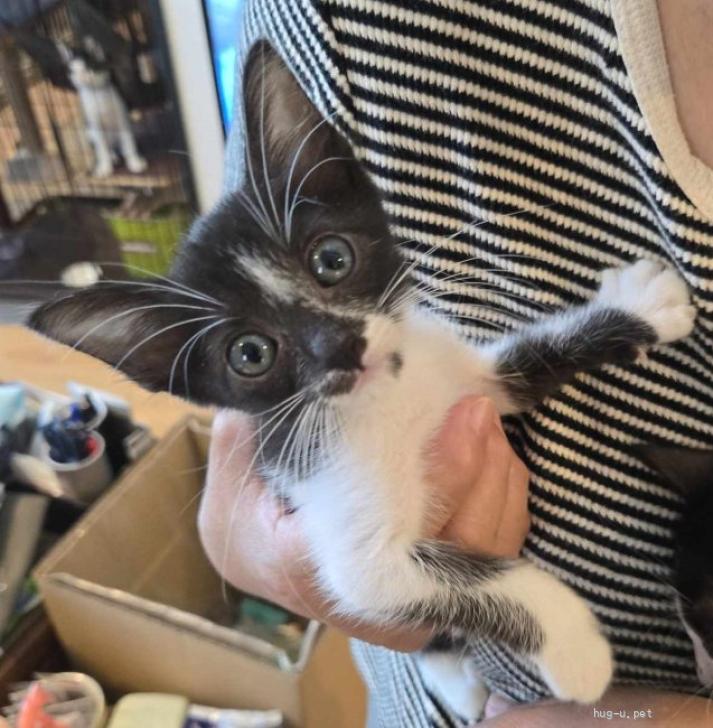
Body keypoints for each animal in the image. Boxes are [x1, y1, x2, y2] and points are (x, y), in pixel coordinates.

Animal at [58, 43, 147, 178]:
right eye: (73, 71)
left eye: (88, 67)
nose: (81, 77)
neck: (97, 94)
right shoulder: (94, 123)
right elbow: (102, 148)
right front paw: (104, 168)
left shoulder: (122, 117)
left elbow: (128, 142)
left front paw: (134, 162)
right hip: (89, 134)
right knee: (102, 146)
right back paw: (111, 156)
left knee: (120, 144)